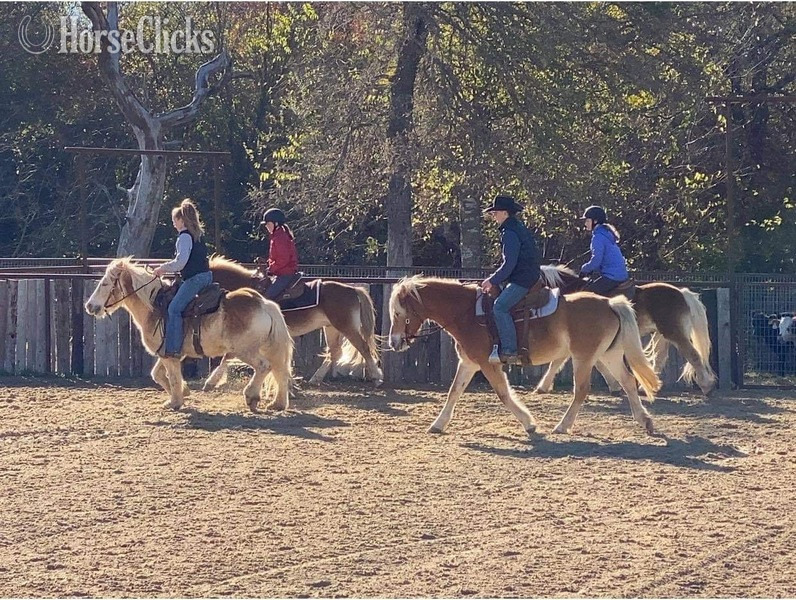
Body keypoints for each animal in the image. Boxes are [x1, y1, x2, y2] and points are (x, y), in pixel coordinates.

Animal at [85, 258, 294, 412]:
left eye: (104, 283)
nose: (90, 306)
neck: (155, 307)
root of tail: (264, 304)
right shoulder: (170, 352)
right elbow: (157, 374)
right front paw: (183, 392)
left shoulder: (169, 354)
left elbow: (172, 376)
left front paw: (175, 402)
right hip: (265, 347)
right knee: (279, 370)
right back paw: (277, 403)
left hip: (246, 351)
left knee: (264, 367)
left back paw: (251, 396)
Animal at [205, 256, 382, 388]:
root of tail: (353, 290)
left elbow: (228, 355)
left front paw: (212, 381)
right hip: (331, 327)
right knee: (335, 352)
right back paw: (315, 379)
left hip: (347, 327)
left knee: (363, 348)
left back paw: (377, 377)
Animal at [388, 276, 662, 437]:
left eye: (399, 313)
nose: (394, 342)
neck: (466, 313)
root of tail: (609, 303)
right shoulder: (469, 363)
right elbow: (454, 391)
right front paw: (438, 423)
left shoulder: (487, 363)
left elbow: (503, 393)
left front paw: (529, 423)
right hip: (609, 355)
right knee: (628, 382)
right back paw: (645, 421)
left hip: (583, 357)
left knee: (582, 390)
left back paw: (562, 425)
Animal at [537, 265, 717, 395]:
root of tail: (682, 293)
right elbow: (561, 362)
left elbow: (562, 361)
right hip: (662, 334)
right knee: (659, 359)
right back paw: (647, 389)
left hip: (674, 333)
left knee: (693, 355)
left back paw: (706, 385)